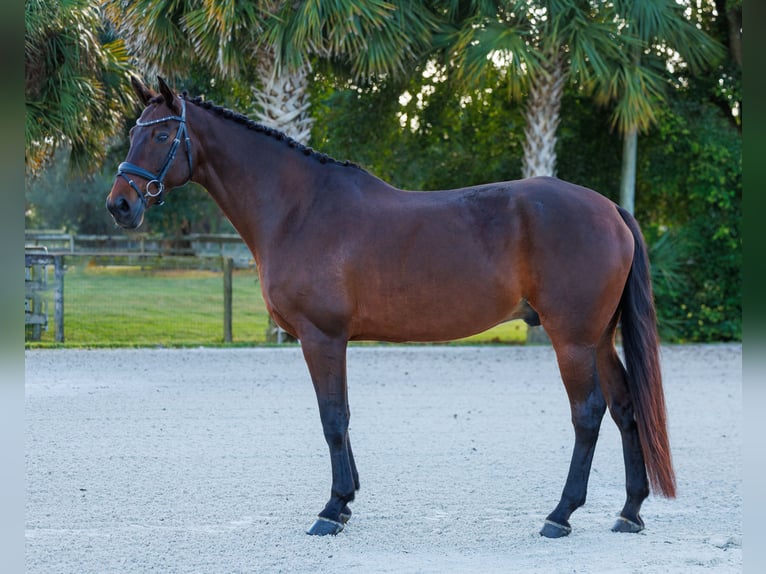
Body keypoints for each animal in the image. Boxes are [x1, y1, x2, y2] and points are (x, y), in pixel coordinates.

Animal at [106, 77, 675, 538]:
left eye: (162, 136)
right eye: (134, 132)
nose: (120, 205)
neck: (298, 210)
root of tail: (609, 208)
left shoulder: (321, 337)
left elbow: (332, 417)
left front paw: (331, 510)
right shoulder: (332, 341)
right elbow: (342, 416)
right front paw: (347, 501)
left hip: (571, 338)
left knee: (589, 413)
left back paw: (560, 515)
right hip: (598, 337)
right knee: (625, 408)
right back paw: (629, 511)